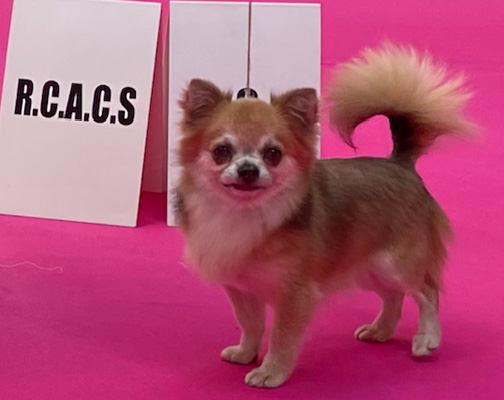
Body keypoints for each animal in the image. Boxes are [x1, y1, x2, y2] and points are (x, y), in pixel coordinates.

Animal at [174, 43, 475, 388]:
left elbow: (281, 336)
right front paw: (246, 352)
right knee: (394, 297)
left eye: (273, 154)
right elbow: (251, 324)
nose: (248, 169)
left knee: (427, 292)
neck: (245, 213)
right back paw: (380, 330)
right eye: (221, 151)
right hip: (367, 266)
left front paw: (271, 371)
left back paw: (427, 339)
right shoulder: (241, 288)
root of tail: (400, 164)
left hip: (397, 263)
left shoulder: (295, 294)